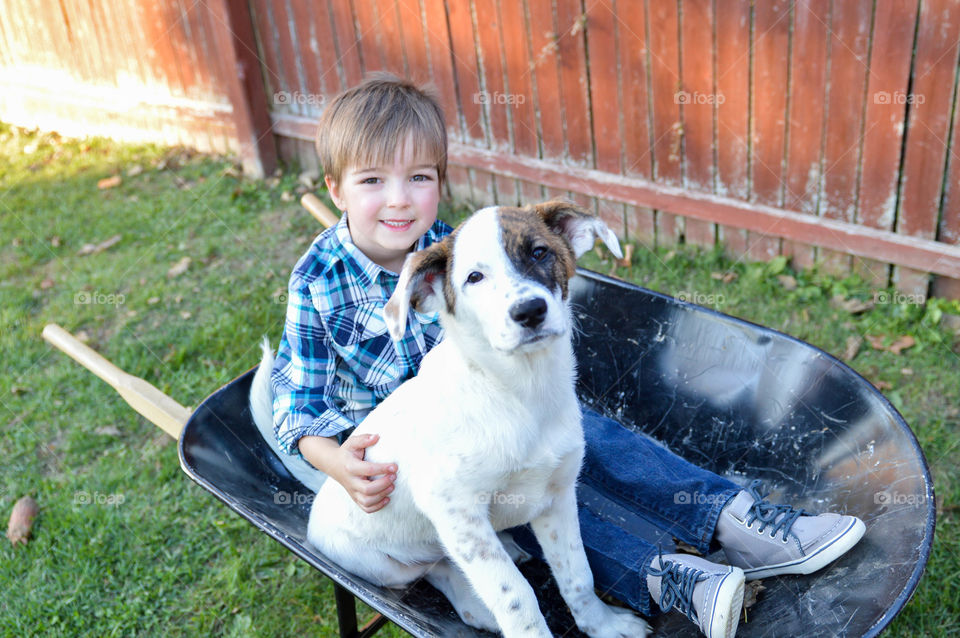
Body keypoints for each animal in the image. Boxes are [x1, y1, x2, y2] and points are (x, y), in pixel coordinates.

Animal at [251, 200, 648, 638]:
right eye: (474, 277)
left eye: (539, 252)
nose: (529, 311)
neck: (522, 392)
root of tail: (325, 489)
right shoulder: (455, 511)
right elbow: (516, 596)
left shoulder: (558, 495)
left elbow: (578, 573)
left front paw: (603, 624)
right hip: (390, 566)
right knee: (437, 569)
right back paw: (479, 607)